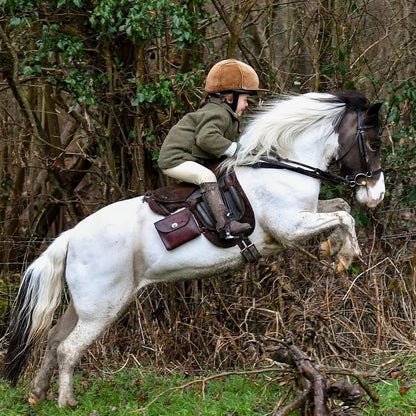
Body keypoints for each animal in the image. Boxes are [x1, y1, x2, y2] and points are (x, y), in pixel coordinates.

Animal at [0, 91, 384, 406]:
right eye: (374, 144)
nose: (376, 196)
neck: (284, 166)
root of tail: (71, 236)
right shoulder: (289, 228)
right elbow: (344, 216)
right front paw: (345, 256)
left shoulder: (305, 215)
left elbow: (340, 209)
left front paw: (333, 250)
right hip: (102, 307)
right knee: (68, 348)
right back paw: (66, 402)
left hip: (84, 306)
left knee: (53, 341)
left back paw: (37, 394)